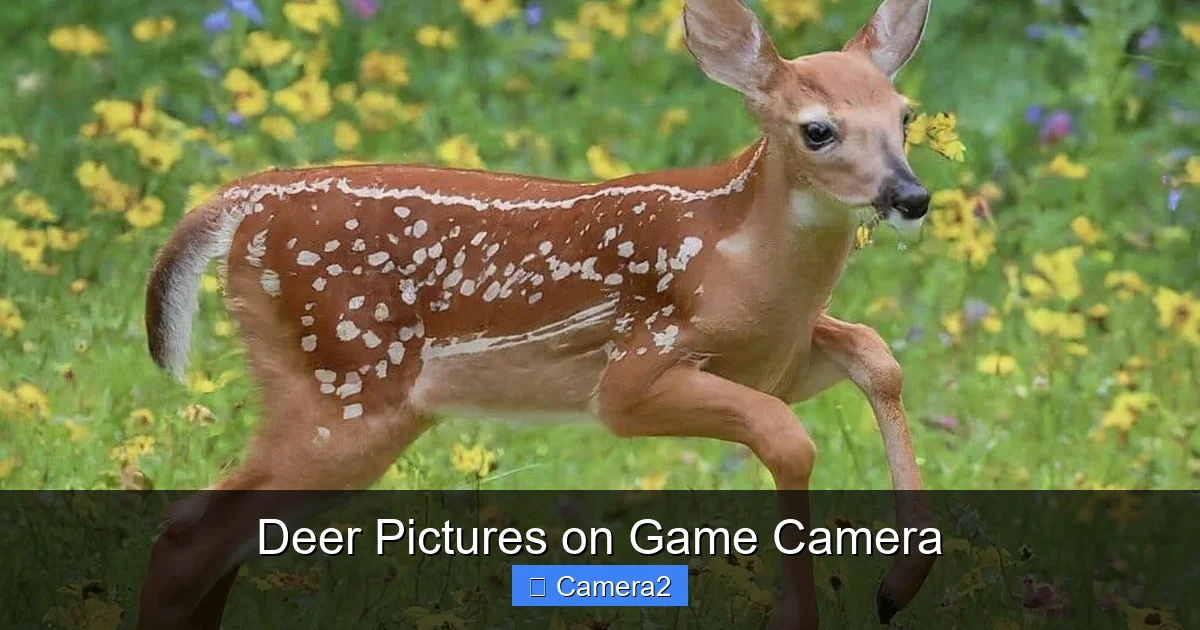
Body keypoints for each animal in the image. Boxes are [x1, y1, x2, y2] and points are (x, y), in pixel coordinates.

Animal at [138, 0, 937, 627]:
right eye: (817, 130)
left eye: (905, 117)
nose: (911, 196)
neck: (737, 258)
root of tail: (236, 205)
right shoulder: (632, 375)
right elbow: (788, 438)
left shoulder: (777, 361)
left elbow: (876, 354)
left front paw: (898, 587)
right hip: (344, 388)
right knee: (188, 536)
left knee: (220, 537)